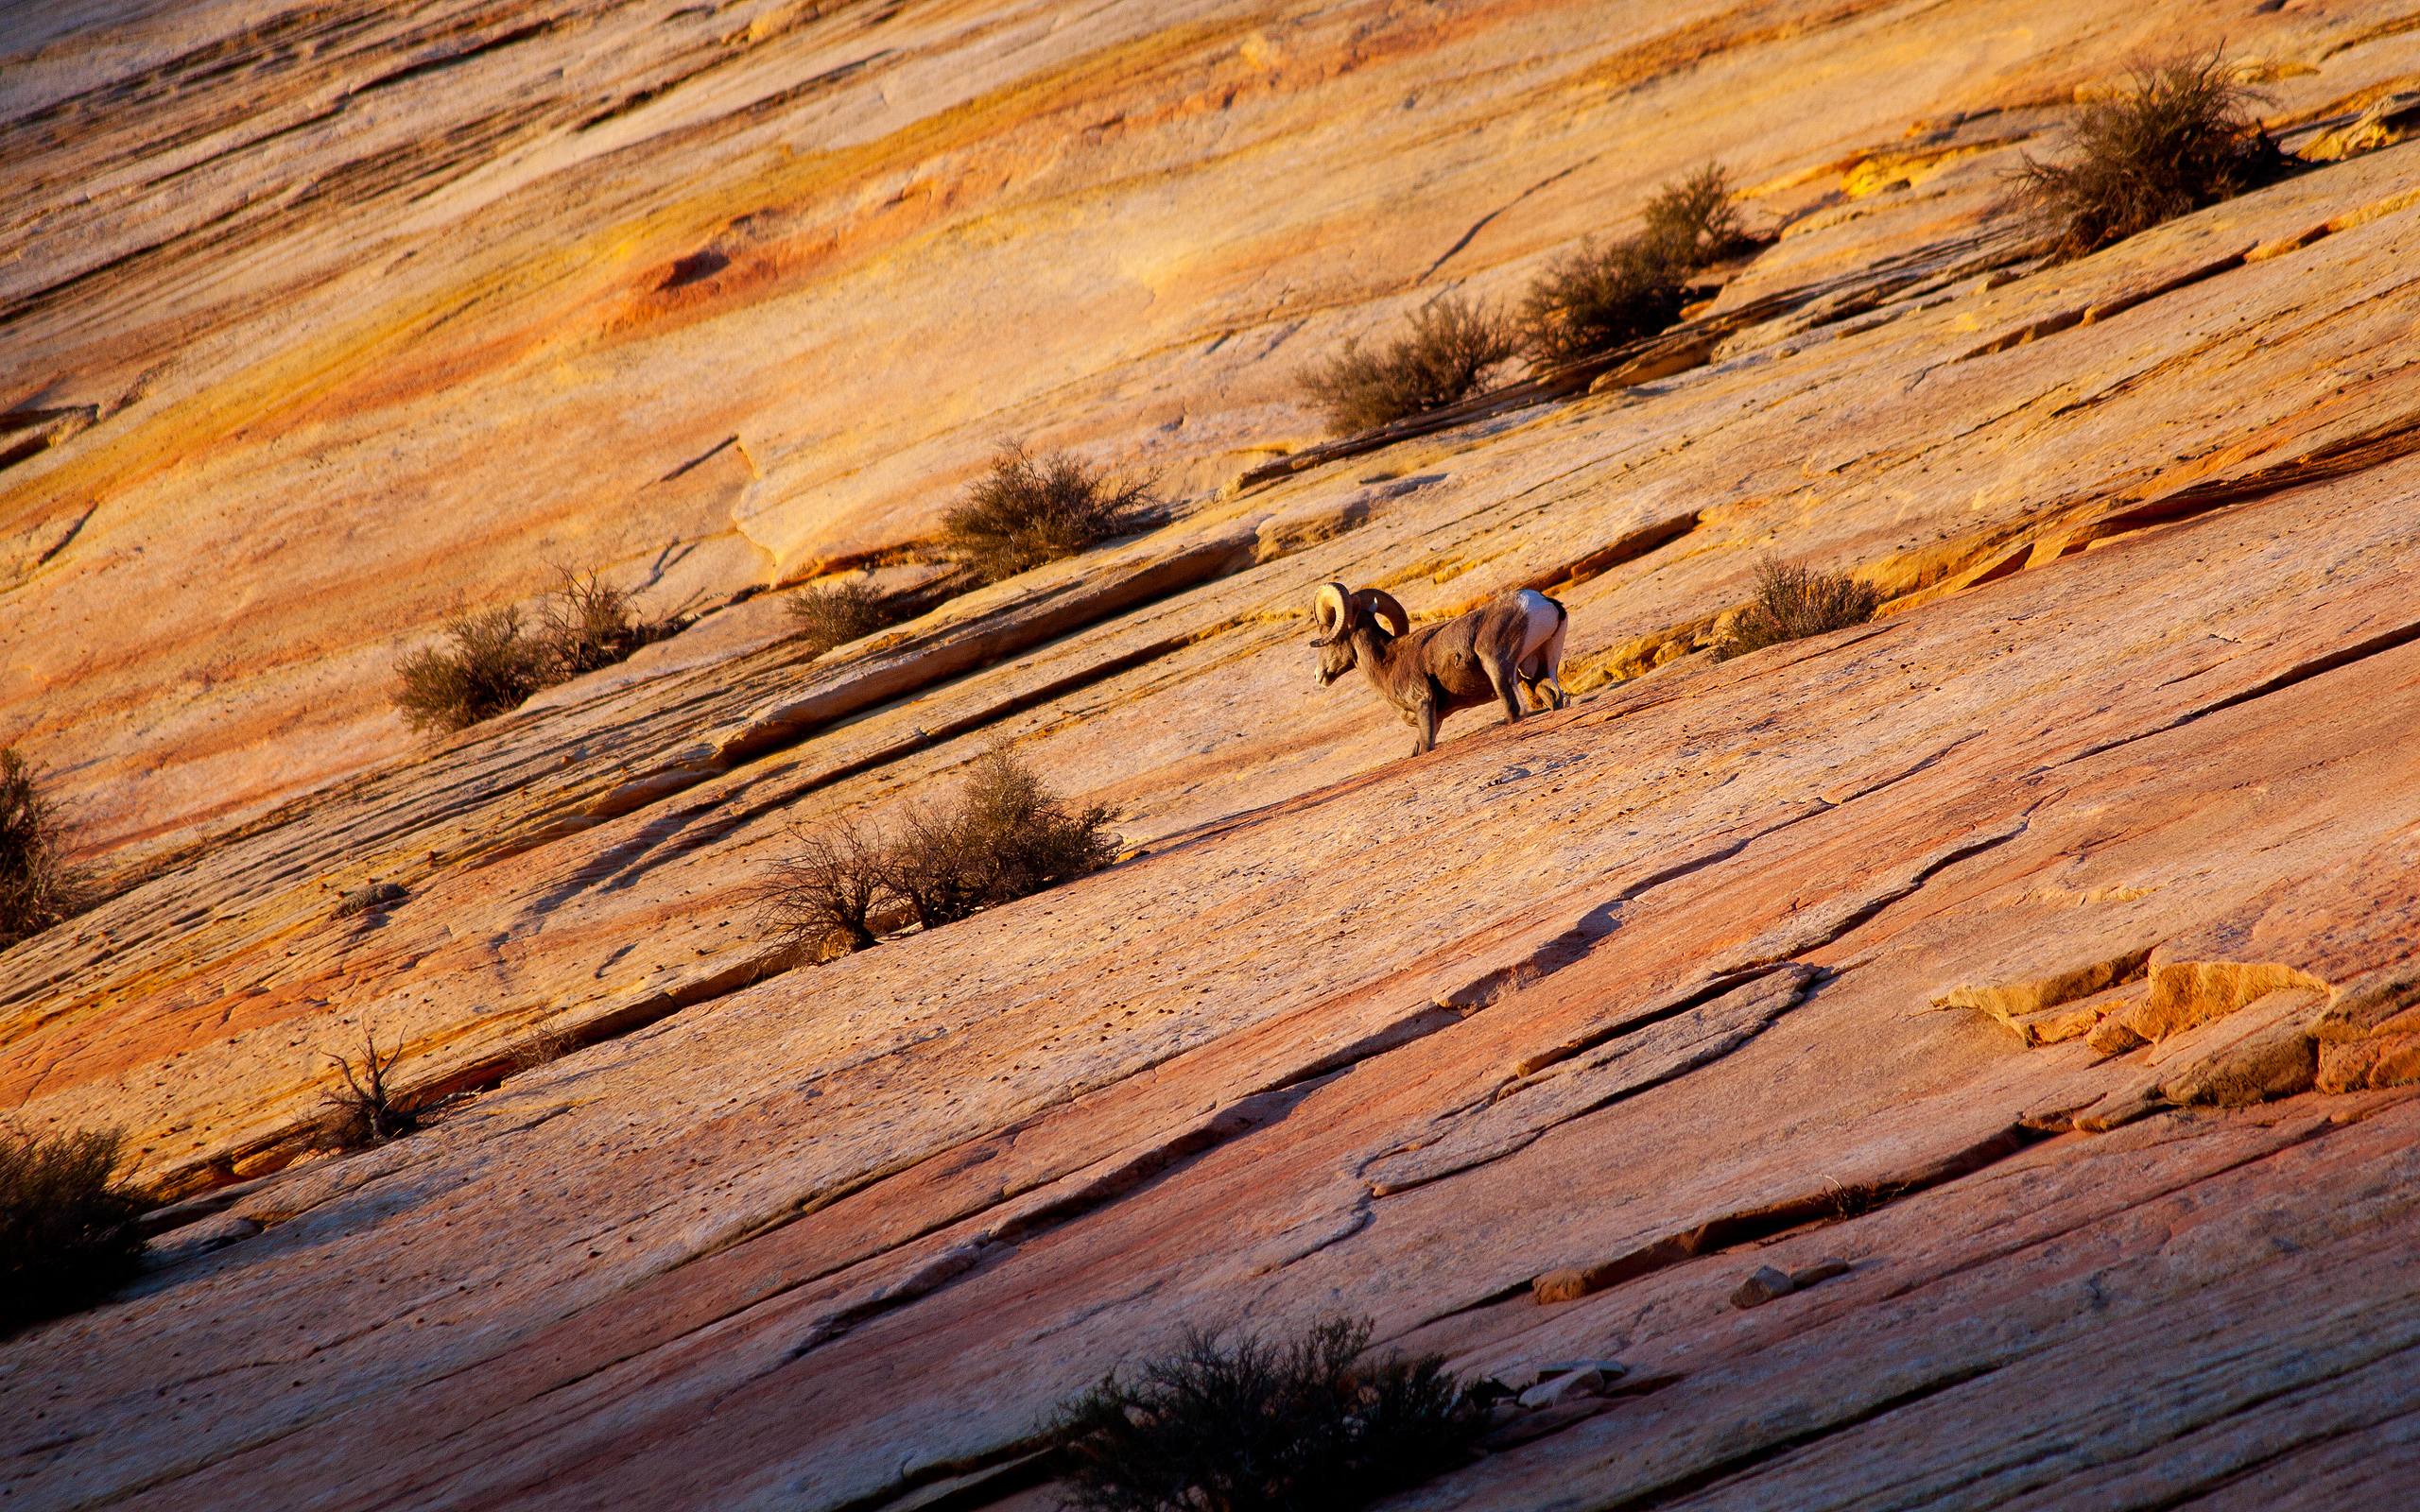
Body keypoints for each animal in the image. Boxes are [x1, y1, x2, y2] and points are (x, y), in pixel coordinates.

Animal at [1306, 576, 1567, 749]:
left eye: (1329, 633)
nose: (1318, 676)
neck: (1386, 662)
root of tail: (1543, 603)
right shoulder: (1436, 718)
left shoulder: (1424, 706)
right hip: (1538, 671)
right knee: (1555, 698)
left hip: (1497, 667)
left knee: (1515, 710)